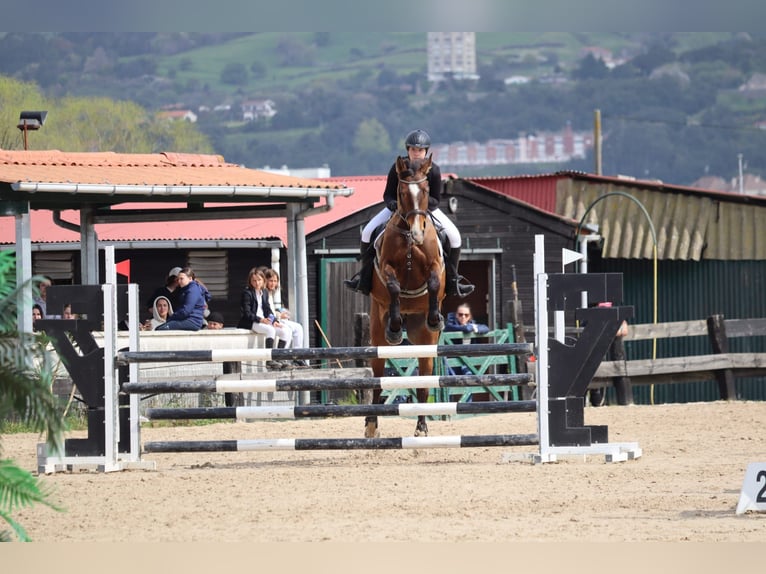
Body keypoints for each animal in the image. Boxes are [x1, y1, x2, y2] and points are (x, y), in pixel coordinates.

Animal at [365, 155, 446, 438]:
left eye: (426, 191)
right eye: (401, 192)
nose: (417, 233)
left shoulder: (435, 265)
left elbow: (433, 282)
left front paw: (435, 318)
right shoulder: (387, 266)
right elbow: (393, 287)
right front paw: (395, 325)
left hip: (426, 344)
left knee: (423, 382)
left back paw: (421, 427)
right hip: (377, 334)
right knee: (377, 379)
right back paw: (371, 425)